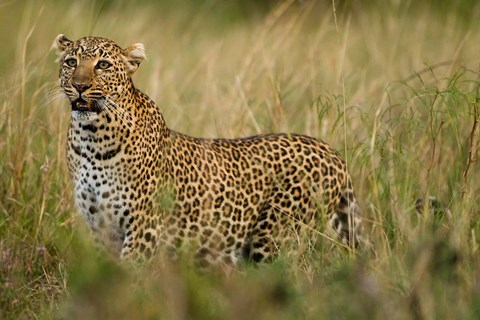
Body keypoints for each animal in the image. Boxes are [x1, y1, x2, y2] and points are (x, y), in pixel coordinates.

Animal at [53, 33, 368, 266]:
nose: (79, 86)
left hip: (275, 236)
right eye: (71, 61)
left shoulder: (144, 229)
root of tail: (332, 152)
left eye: (103, 65)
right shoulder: (100, 230)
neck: (92, 141)